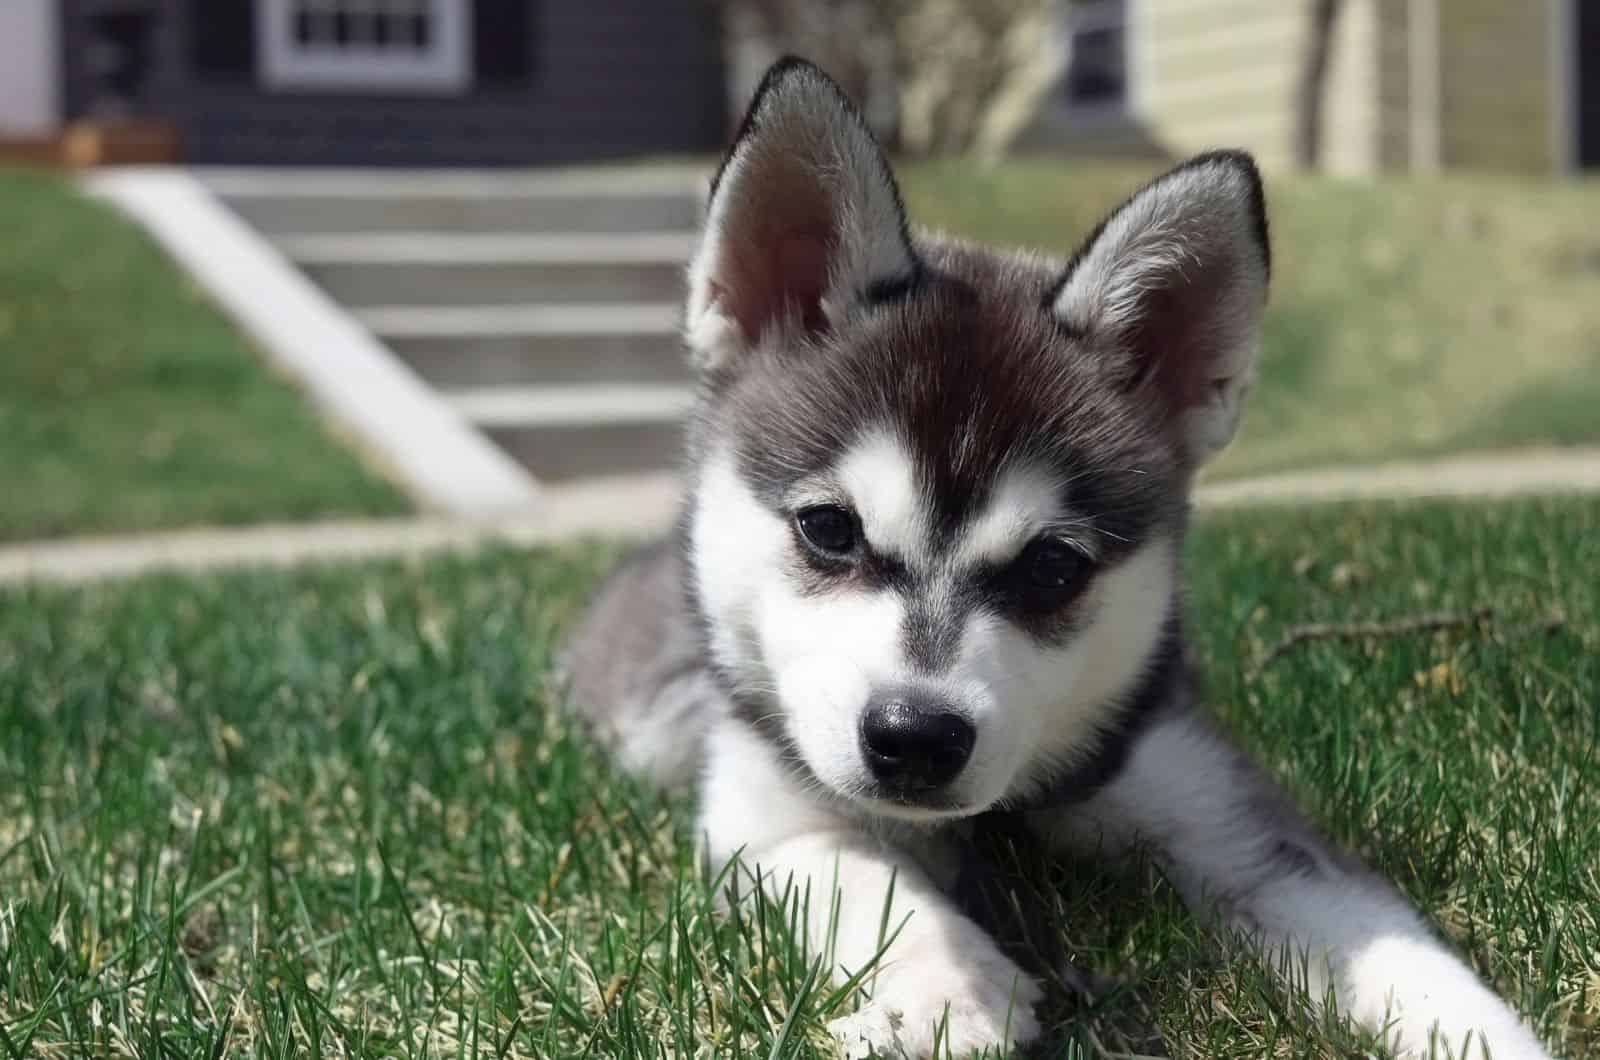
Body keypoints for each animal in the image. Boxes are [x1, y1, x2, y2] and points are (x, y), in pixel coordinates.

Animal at [560, 60, 1548, 1060]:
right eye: (829, 528)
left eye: (1051, 568)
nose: (916, 738)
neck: (998, 823)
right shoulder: (766, 817)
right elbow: (864, 878)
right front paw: (945, 988)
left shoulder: (1227, 814)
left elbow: (1378, 935)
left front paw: (1479, 1027)